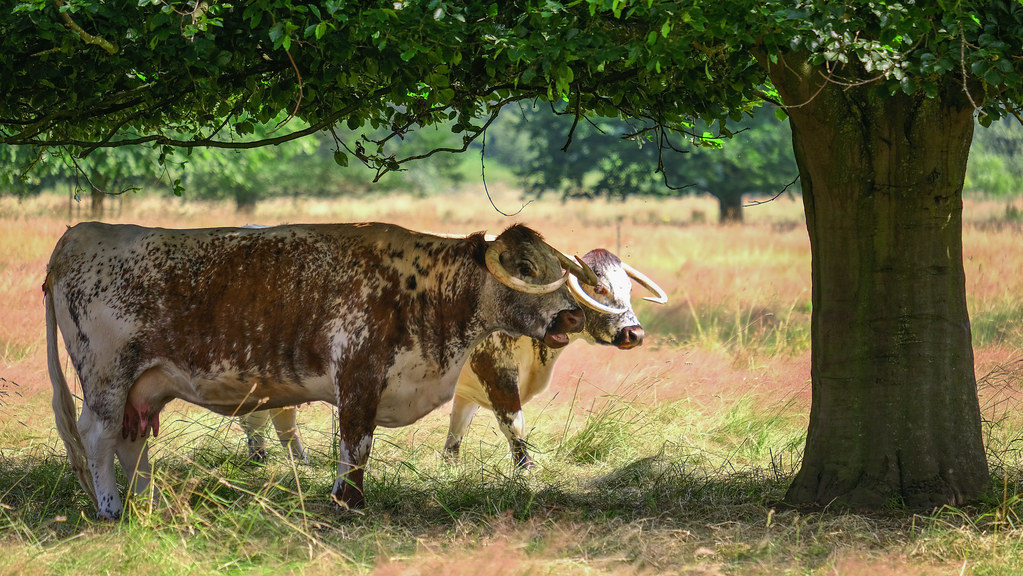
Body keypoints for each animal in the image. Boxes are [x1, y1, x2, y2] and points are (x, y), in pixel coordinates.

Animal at [45, 221, 597, 519]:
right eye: (524, 268)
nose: (573, 315)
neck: (426, 288)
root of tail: (80, 234)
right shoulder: (358, 375)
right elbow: (356, 444)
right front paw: (347, 500)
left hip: (143, 386)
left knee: (131, 440)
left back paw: (148, 501)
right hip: (106, 376)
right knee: (98, 436)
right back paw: (112, 508)